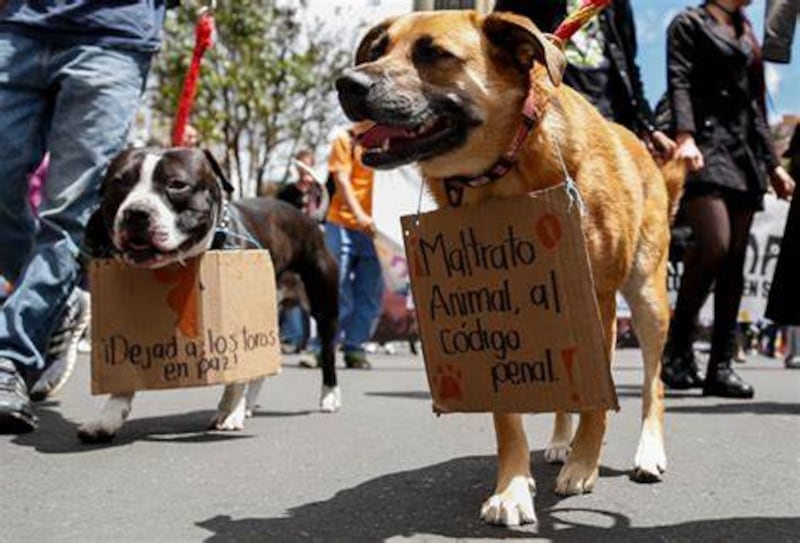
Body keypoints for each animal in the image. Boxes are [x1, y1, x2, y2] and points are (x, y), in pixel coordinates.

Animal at [80, 148, 340, 442]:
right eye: (119, 183)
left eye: (176, 184)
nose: (136, 212)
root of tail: (310, 219)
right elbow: (124, 375)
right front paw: (109, 416)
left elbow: (236, 375)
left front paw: (231, 412)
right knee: (260, 368)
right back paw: (248, 405)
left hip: (323, 304)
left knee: (327, 351)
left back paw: (329, 396)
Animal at [334, 8, 684, 528]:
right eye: (378, 50)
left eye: (434, 54)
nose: (346, 83)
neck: (504, 170)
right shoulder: (501, 313)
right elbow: (508, 417)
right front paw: (513, 488)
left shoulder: (595, 300)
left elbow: (598, 402)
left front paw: (584, 463)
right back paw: (560, 442)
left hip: (646, 301)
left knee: (652, 382)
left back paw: (646, 452)